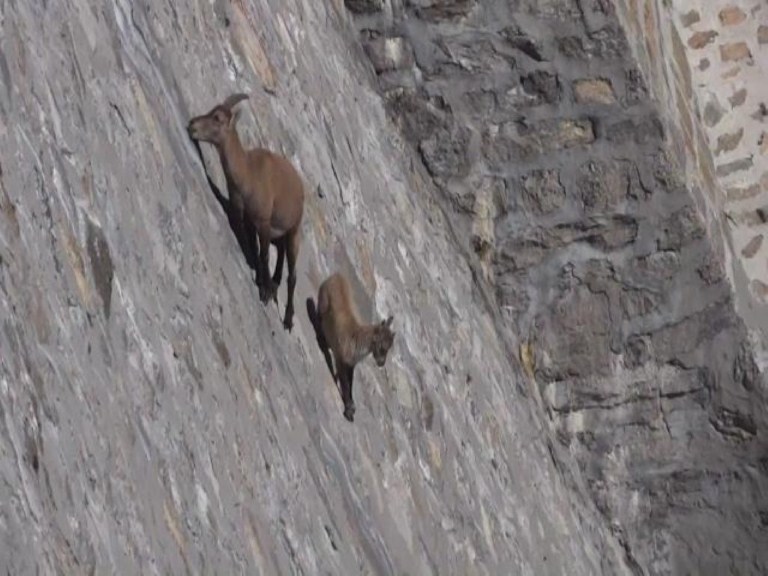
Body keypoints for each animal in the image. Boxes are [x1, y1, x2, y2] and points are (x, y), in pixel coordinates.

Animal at [188, 93, 304, 328]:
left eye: (217, 117)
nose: (192, 124)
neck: (248, 173)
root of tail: (302, 188)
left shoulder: (263, 220)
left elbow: (264, 254)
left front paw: (264, 291)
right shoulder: (249, 219)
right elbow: (255, 249)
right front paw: (262, 281)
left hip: (294, 231)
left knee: (293, 275)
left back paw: (288, 318)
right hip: (280, 233)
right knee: (281, 253)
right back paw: (274, 283)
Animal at [316, 272, 396, 420]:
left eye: (389, 348)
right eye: (382, 347)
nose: (381, 363)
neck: (358, 341)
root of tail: (336, 275)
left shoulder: (351, 365)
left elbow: (350, 382)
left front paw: (351, 405)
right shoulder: (341, 360)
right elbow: (346, 385)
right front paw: (349, 410)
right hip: (323, 302)